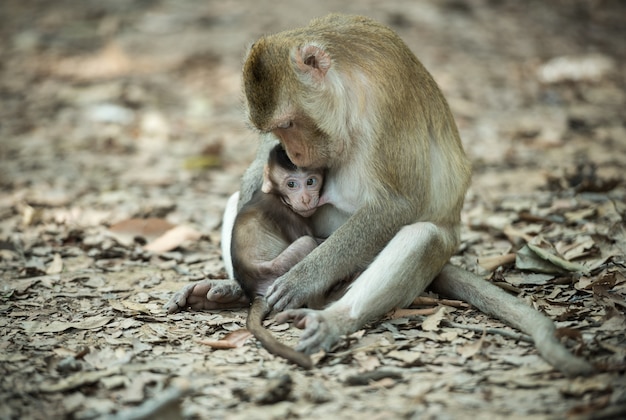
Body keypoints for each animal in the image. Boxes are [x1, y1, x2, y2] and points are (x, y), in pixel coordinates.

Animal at [230, 144, 324, 368]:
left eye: (311, 181)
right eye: (291, 184)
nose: (305, 199)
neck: (277, 195)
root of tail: (256, 292)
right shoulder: (286, 214)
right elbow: (311, 238)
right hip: (277, 270)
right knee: (307, 243)